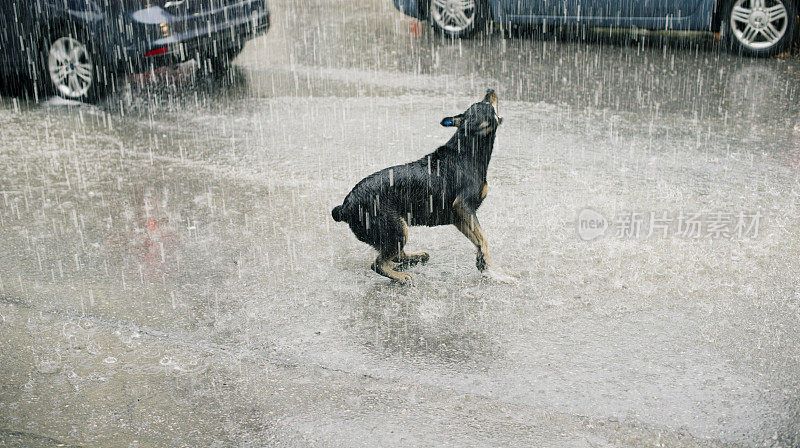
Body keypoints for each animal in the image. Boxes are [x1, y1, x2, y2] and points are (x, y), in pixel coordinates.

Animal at [330, 89, 504, 282]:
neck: (468, 150)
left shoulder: (459, 217)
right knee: (379, 264)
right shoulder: (463, 206)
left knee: (395, 255)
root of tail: (345, 207)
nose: (490, 90)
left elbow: (477, 239)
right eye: (488, 104)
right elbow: (484, 240)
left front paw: (481, 261)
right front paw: (492, 269)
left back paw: (416, 257)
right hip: (396, 228)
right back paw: (402, 277)